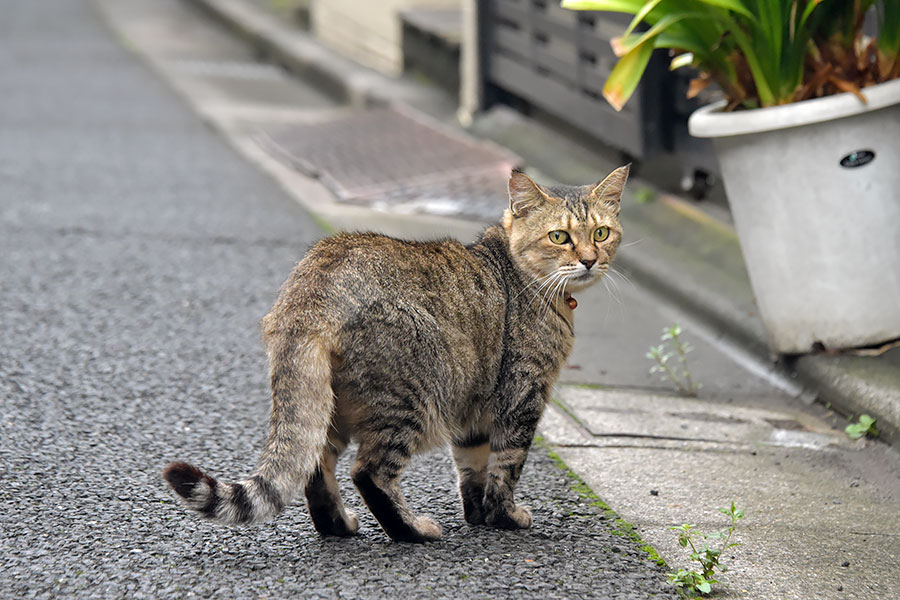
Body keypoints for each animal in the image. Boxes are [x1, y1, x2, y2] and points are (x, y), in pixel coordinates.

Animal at [162, 165, 628, 544]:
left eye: (601, 233)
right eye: (559, 237)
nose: (590, 260)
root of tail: (310, 291)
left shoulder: (474, 409)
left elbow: (473, 467)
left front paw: (478, 515)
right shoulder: (521, 398)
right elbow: (505, 467)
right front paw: (504, 517)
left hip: (326, 404)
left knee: (314, 464)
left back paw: (338, 526)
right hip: (408, 398)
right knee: (369, 473)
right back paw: (412, 530)